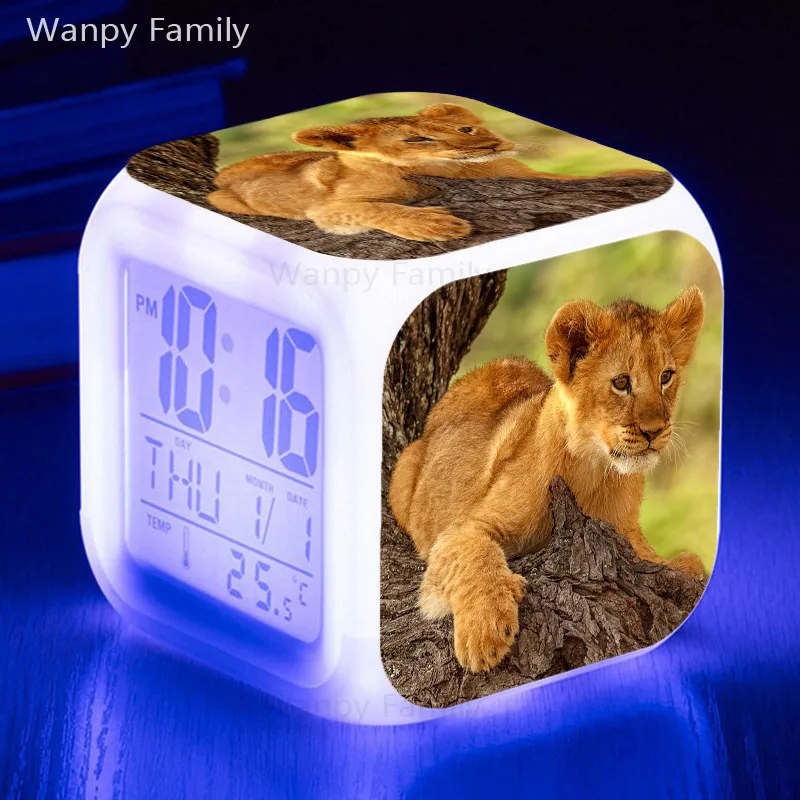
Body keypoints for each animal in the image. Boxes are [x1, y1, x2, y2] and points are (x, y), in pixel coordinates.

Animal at [208, 103, 652, 242]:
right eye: (417, 139)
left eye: (465, 129)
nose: (492, 145)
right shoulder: (328, 210)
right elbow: (372, 208)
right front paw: (439, 226)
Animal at [388, 286, 707, 672]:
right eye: (621, 383)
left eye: (666, 376)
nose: (655, 431)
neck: (594, 471)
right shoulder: (461, 529)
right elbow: (474, 552)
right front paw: (485, 633)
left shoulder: (628, 532)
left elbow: (668, 560)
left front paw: (683, 565)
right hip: (405, 469)